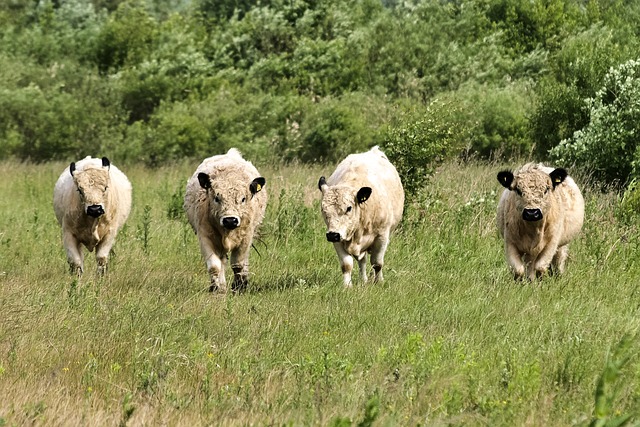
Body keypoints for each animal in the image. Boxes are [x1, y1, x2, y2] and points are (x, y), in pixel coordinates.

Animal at [184, 149, 266, 292]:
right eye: (217, 198)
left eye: (243, 199)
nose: (230, 220)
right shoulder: (205, 236)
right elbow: (214, 266)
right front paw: (217, 289)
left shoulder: (246, 238)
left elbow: (238, 264)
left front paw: (239, 287)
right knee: (221, 261)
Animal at [318, 147, 402, 288]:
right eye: (323, 209)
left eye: (349, 208)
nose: (332, 235)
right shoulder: (338, 239)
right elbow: (346, 265)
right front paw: (347, 286)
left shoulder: (382, 236)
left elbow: (377, 263)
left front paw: (379, 282)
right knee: (362, 261)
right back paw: (363, 280)